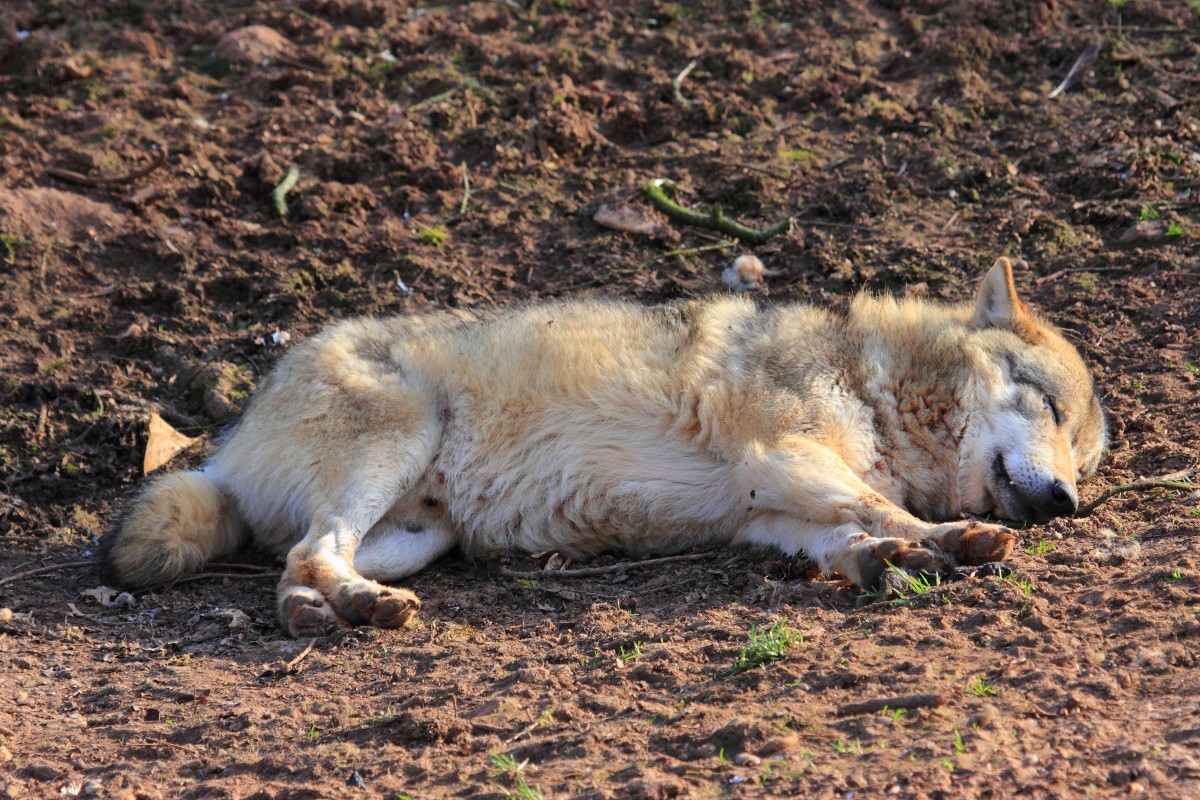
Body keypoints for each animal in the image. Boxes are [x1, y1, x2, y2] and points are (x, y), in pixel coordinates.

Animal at [105, 257, 1104, 638]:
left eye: (1085, 461)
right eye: (1049, 406)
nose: (1065, 504)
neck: (874, 382)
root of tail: (228, 445)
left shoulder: (769, 510)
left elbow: (848, 537)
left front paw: (884, 561)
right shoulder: (781, 460)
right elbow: (881, 508)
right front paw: (945, 542)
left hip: (420, 536)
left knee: (297, 568)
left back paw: (324, 611)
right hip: (394, 453)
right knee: (314, 552)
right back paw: (350, 611)